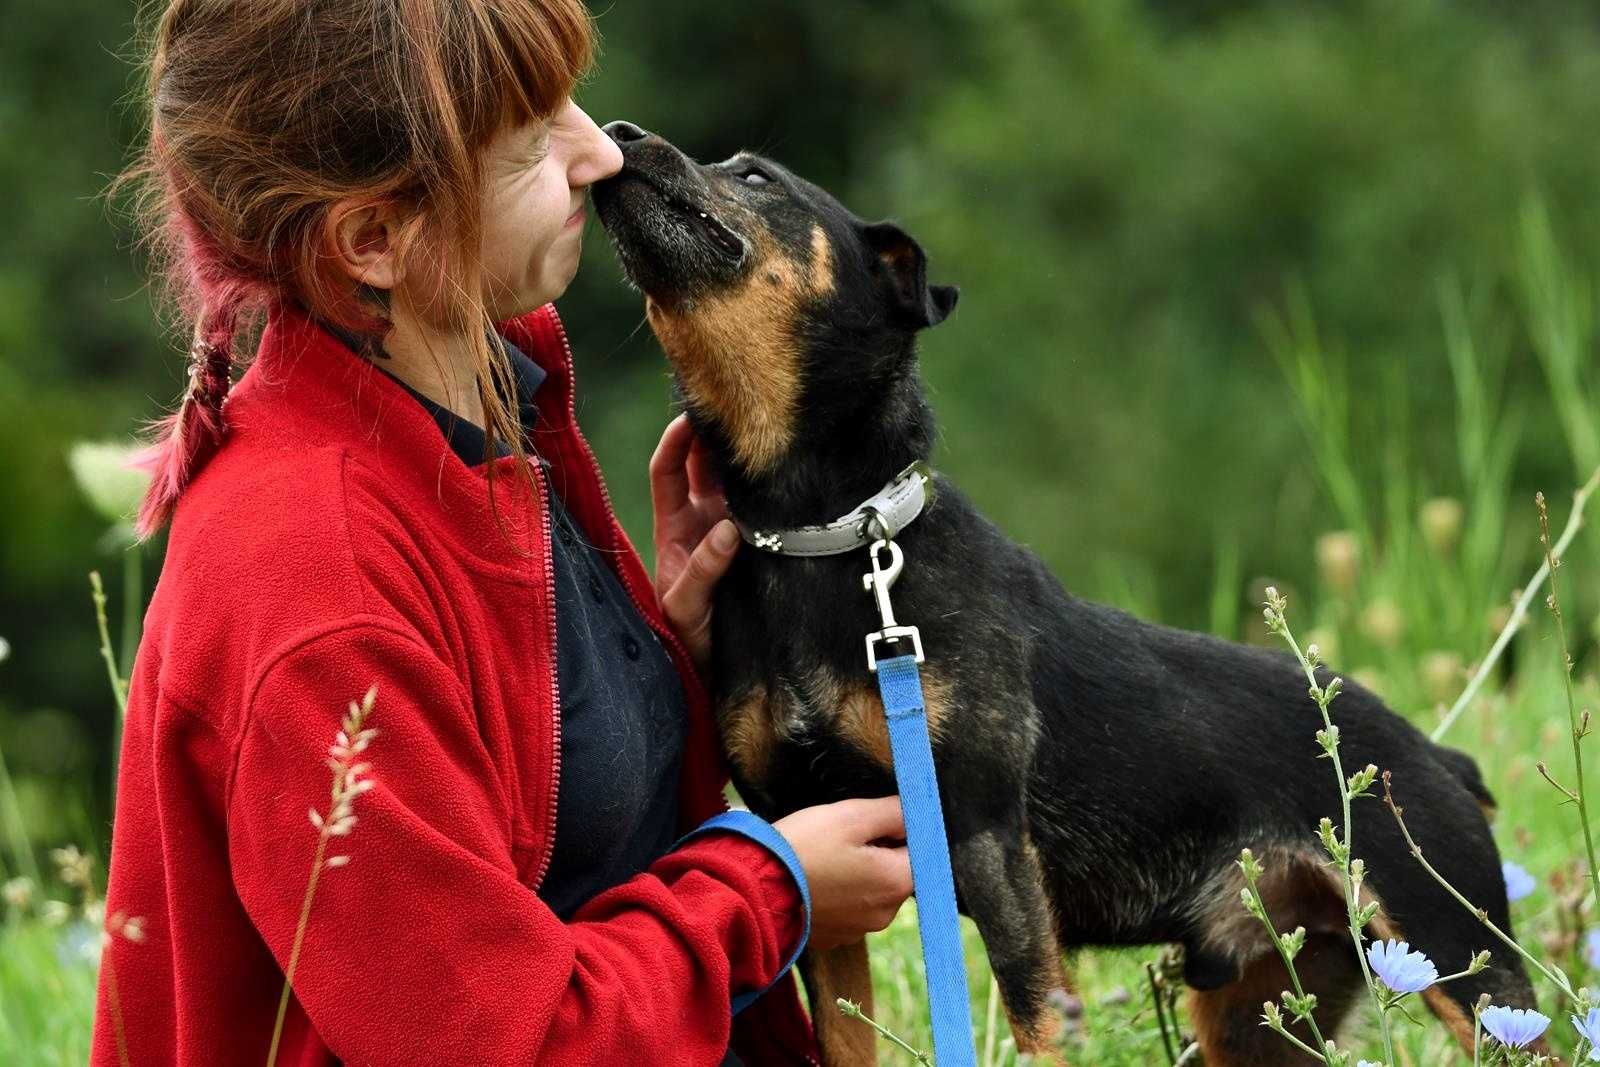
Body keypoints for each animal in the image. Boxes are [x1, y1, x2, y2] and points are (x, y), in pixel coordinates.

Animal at [592, 120, 1536, 1062]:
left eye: (756, 176)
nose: (620, 133)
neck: (822, 537)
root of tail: (1438, 759)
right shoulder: (813, 862)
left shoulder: (986, 841)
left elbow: (1037, 1021)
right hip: (1267, 1010)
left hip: (1466, 968)